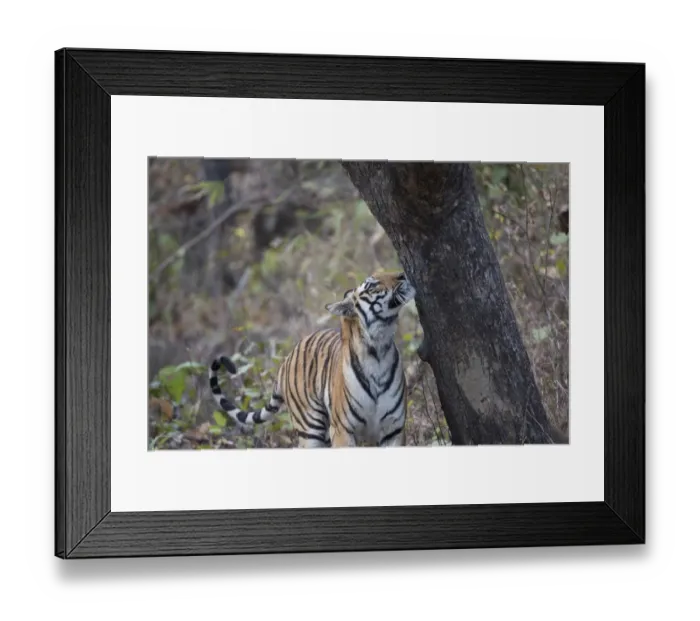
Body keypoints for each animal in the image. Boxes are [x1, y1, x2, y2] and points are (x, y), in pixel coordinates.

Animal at [209, 271, 417, 448]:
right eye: (373, 286)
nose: (402, 274)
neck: (378, 350)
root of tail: (286, 360)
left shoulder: (394, 431)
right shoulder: (342, 431)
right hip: (310, 430)